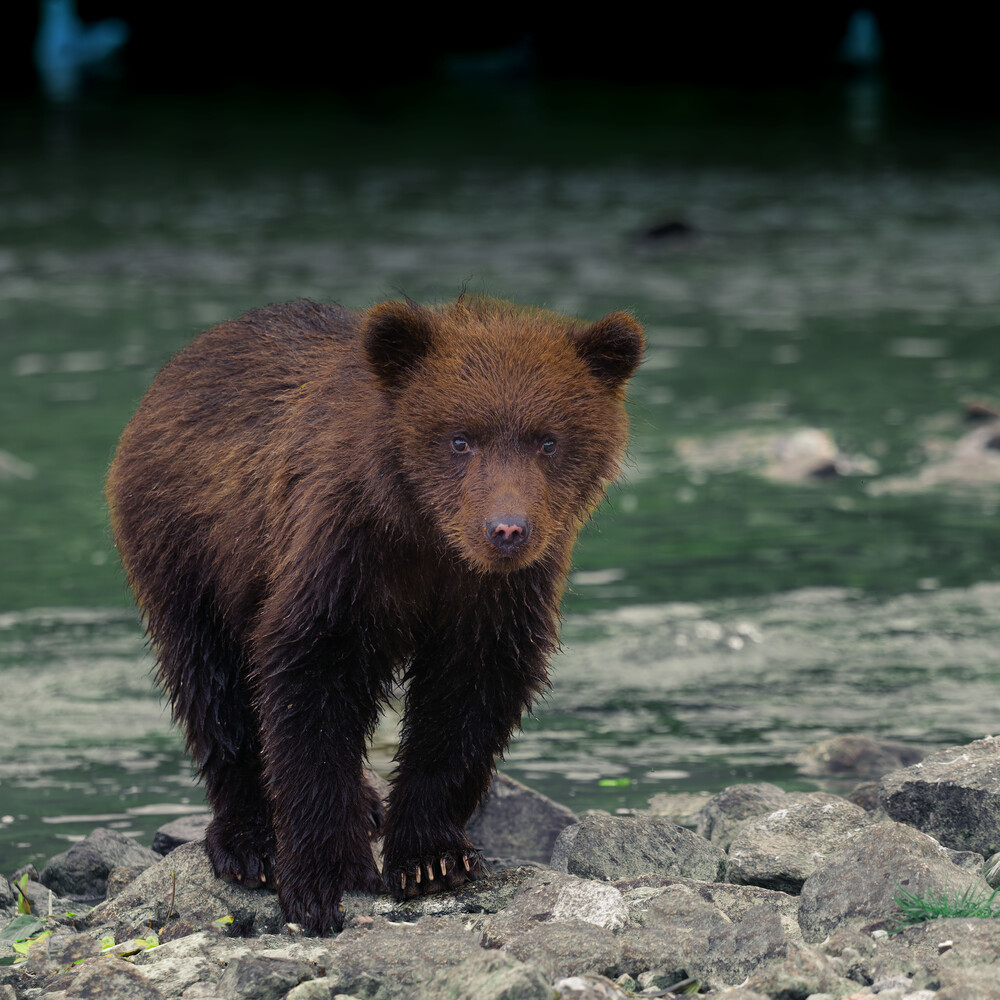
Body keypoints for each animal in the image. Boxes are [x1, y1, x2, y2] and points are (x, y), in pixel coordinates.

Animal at [106, 295, 643, 934]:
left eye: (548, 440)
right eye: (461, 439)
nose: (507, 529)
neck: (431, 539)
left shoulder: (497, 596)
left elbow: (469, 699)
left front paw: (431, 858)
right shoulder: (344, 556)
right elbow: (309, 683)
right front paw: (321, 878)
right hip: (189, 546)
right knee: (211, 682)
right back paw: (248, 842)